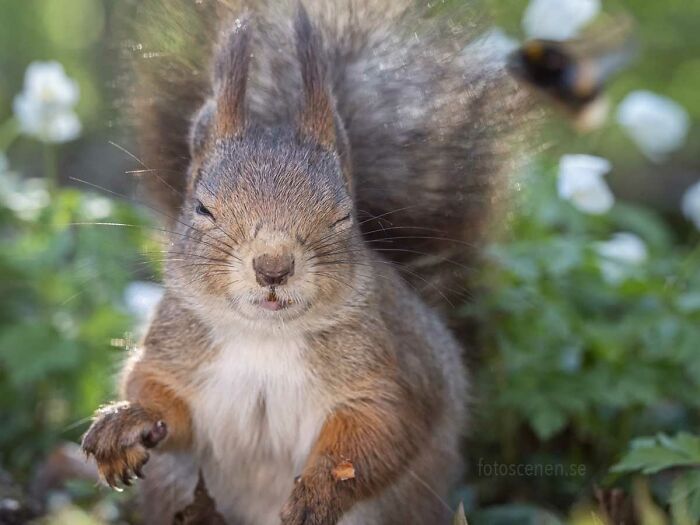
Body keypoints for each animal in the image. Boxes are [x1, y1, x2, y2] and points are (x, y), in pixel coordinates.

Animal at [79, 0, 608, 523]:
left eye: (343, 215)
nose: (273, 266)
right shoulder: (176, 353)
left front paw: (318, 492)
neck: (264, 338)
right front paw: (126, 421)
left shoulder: (384, 375)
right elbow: (158, 397)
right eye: (203, 209)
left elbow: (378, 433)